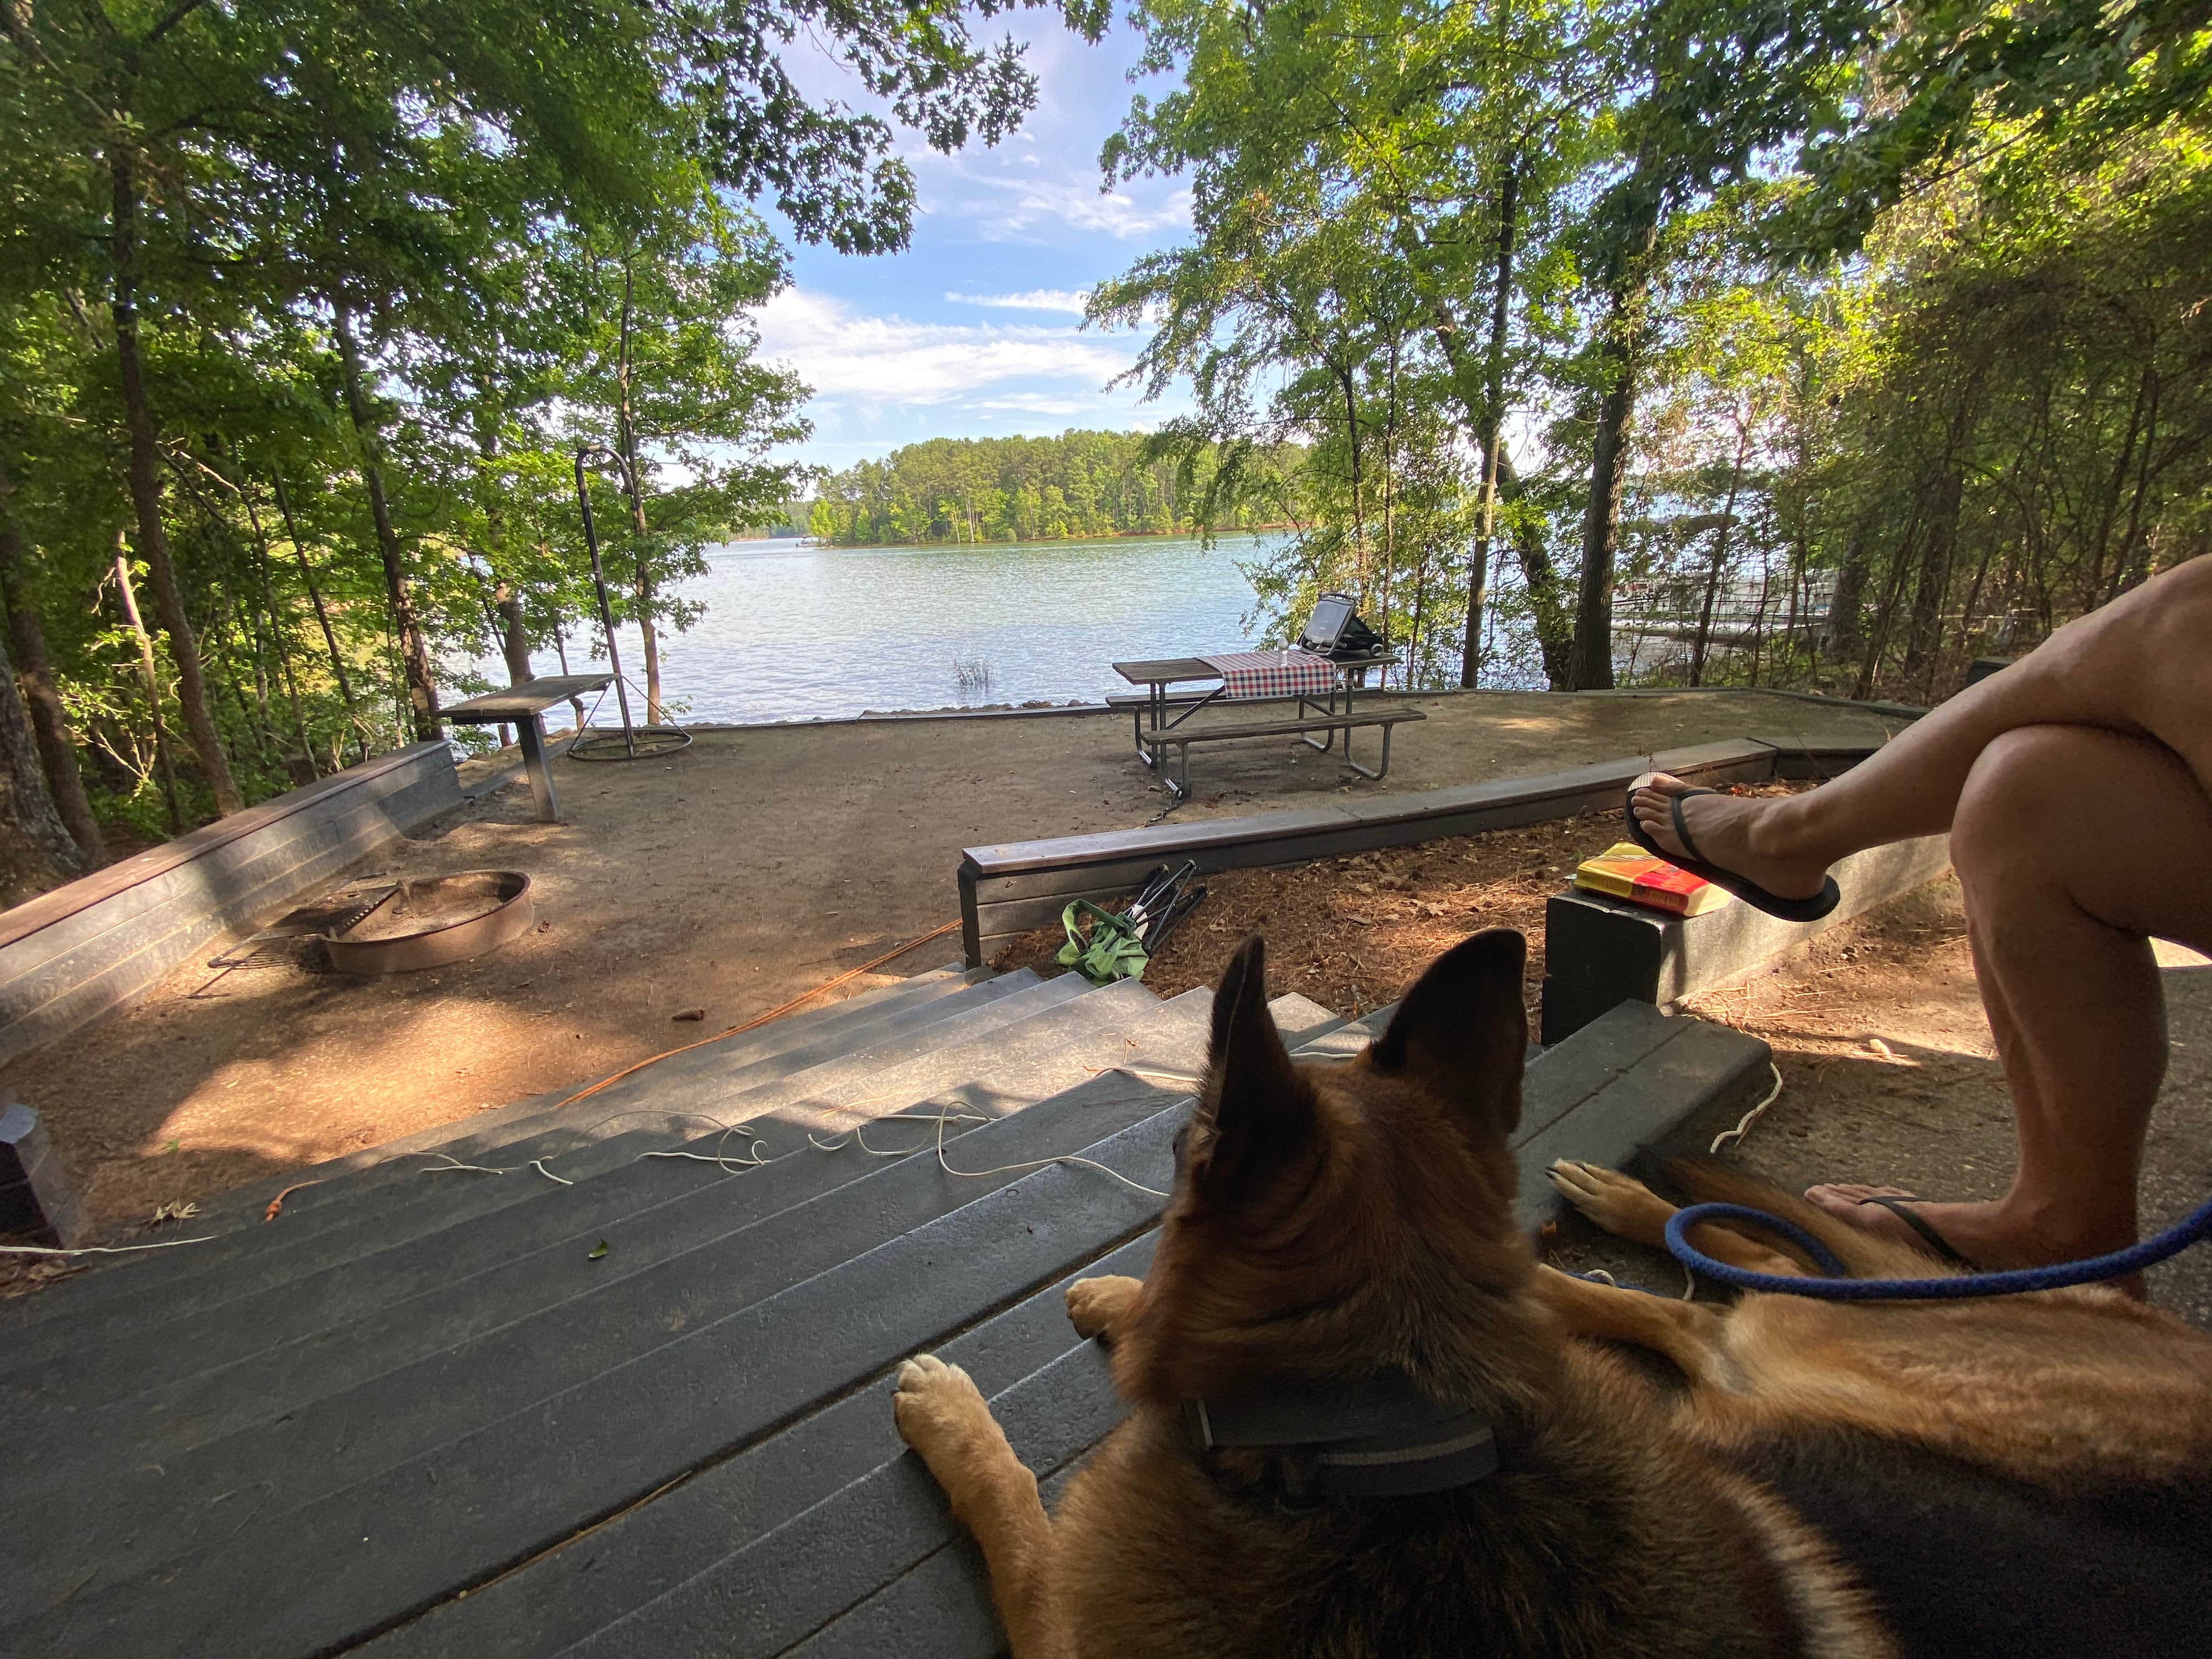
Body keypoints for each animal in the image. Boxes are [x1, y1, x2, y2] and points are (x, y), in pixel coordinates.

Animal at [889, 938, 2212, 1659]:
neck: (1385, 1425)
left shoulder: (1064, 1612)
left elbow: (1017, 1518)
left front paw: (958, 1412)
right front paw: (1117, 1298)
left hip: (1845, 1365)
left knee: (1739, 1304)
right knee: (1700, 1310)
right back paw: (1615, 1205)